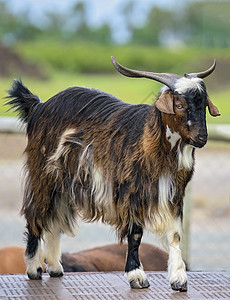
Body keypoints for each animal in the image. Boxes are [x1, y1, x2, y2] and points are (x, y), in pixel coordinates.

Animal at [5, 56, 219, 290]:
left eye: (203, 104)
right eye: (179, 105)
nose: (201, 137)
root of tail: (38, 106)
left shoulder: (173, 193)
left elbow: (175, 234)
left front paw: (179, 279)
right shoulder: (131, 192)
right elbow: (135, 234)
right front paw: (137, 276)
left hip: (63, 184)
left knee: (54, 218)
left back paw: (54, 267)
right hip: (43, 173)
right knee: (36, 213)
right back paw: (34, 269)